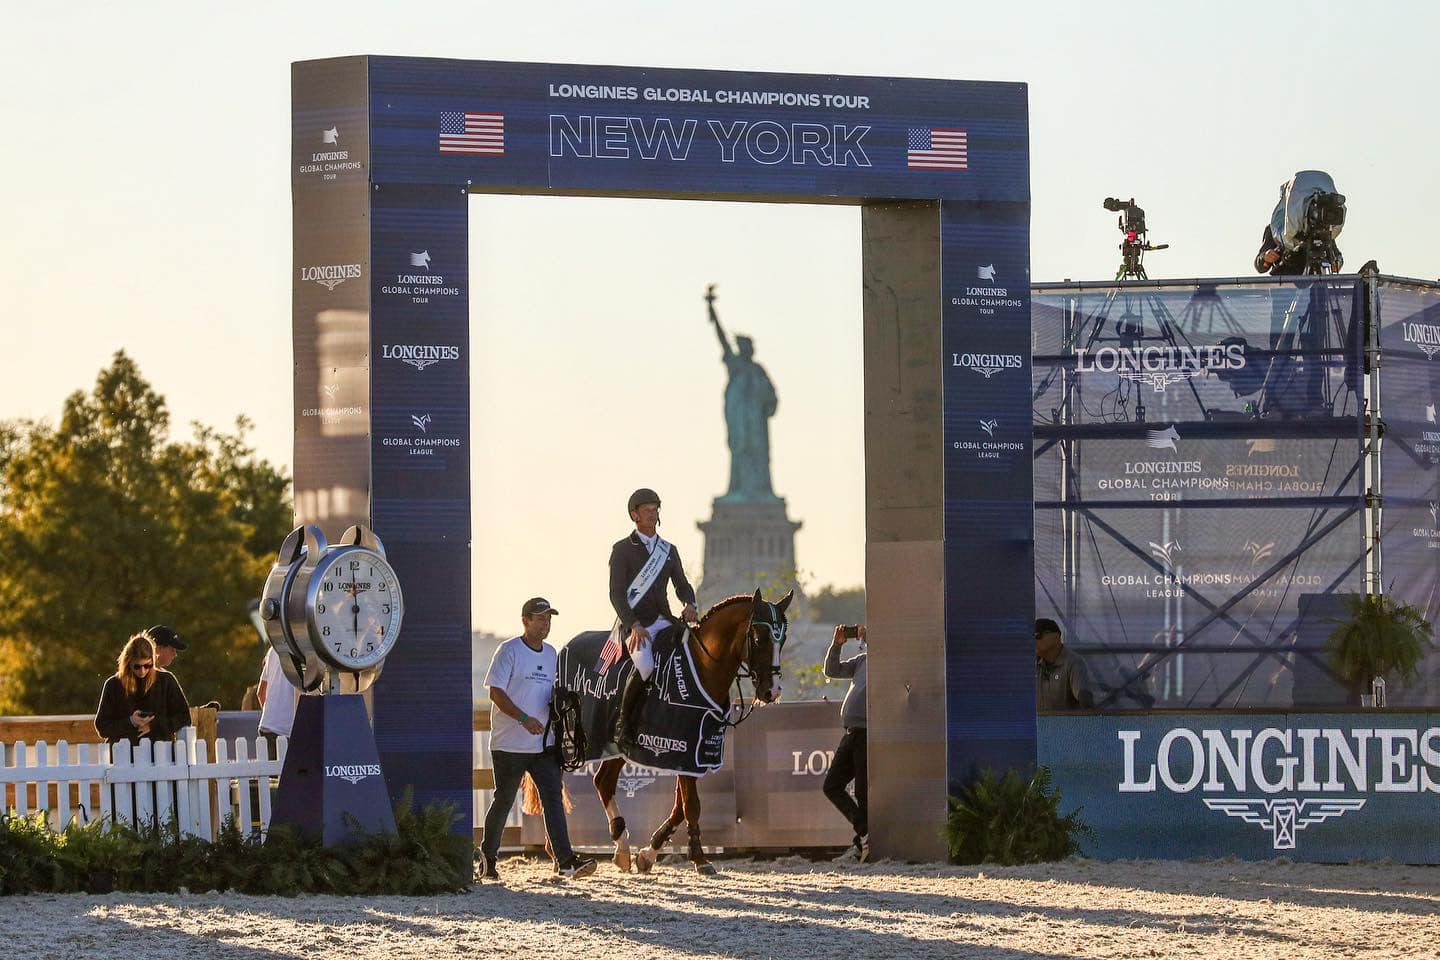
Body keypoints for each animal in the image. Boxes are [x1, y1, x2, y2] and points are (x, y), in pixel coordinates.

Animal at [584, 587, 789, 880]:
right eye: (759, 639)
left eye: (782, 639)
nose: (772, 691)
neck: (703, 672)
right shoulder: (682, 747)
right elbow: (691, 804)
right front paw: (700, 859)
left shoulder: (694, 754)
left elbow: (681, 806)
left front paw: (648, 854)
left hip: (617, 750)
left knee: (603, 782)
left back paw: (622, 849)